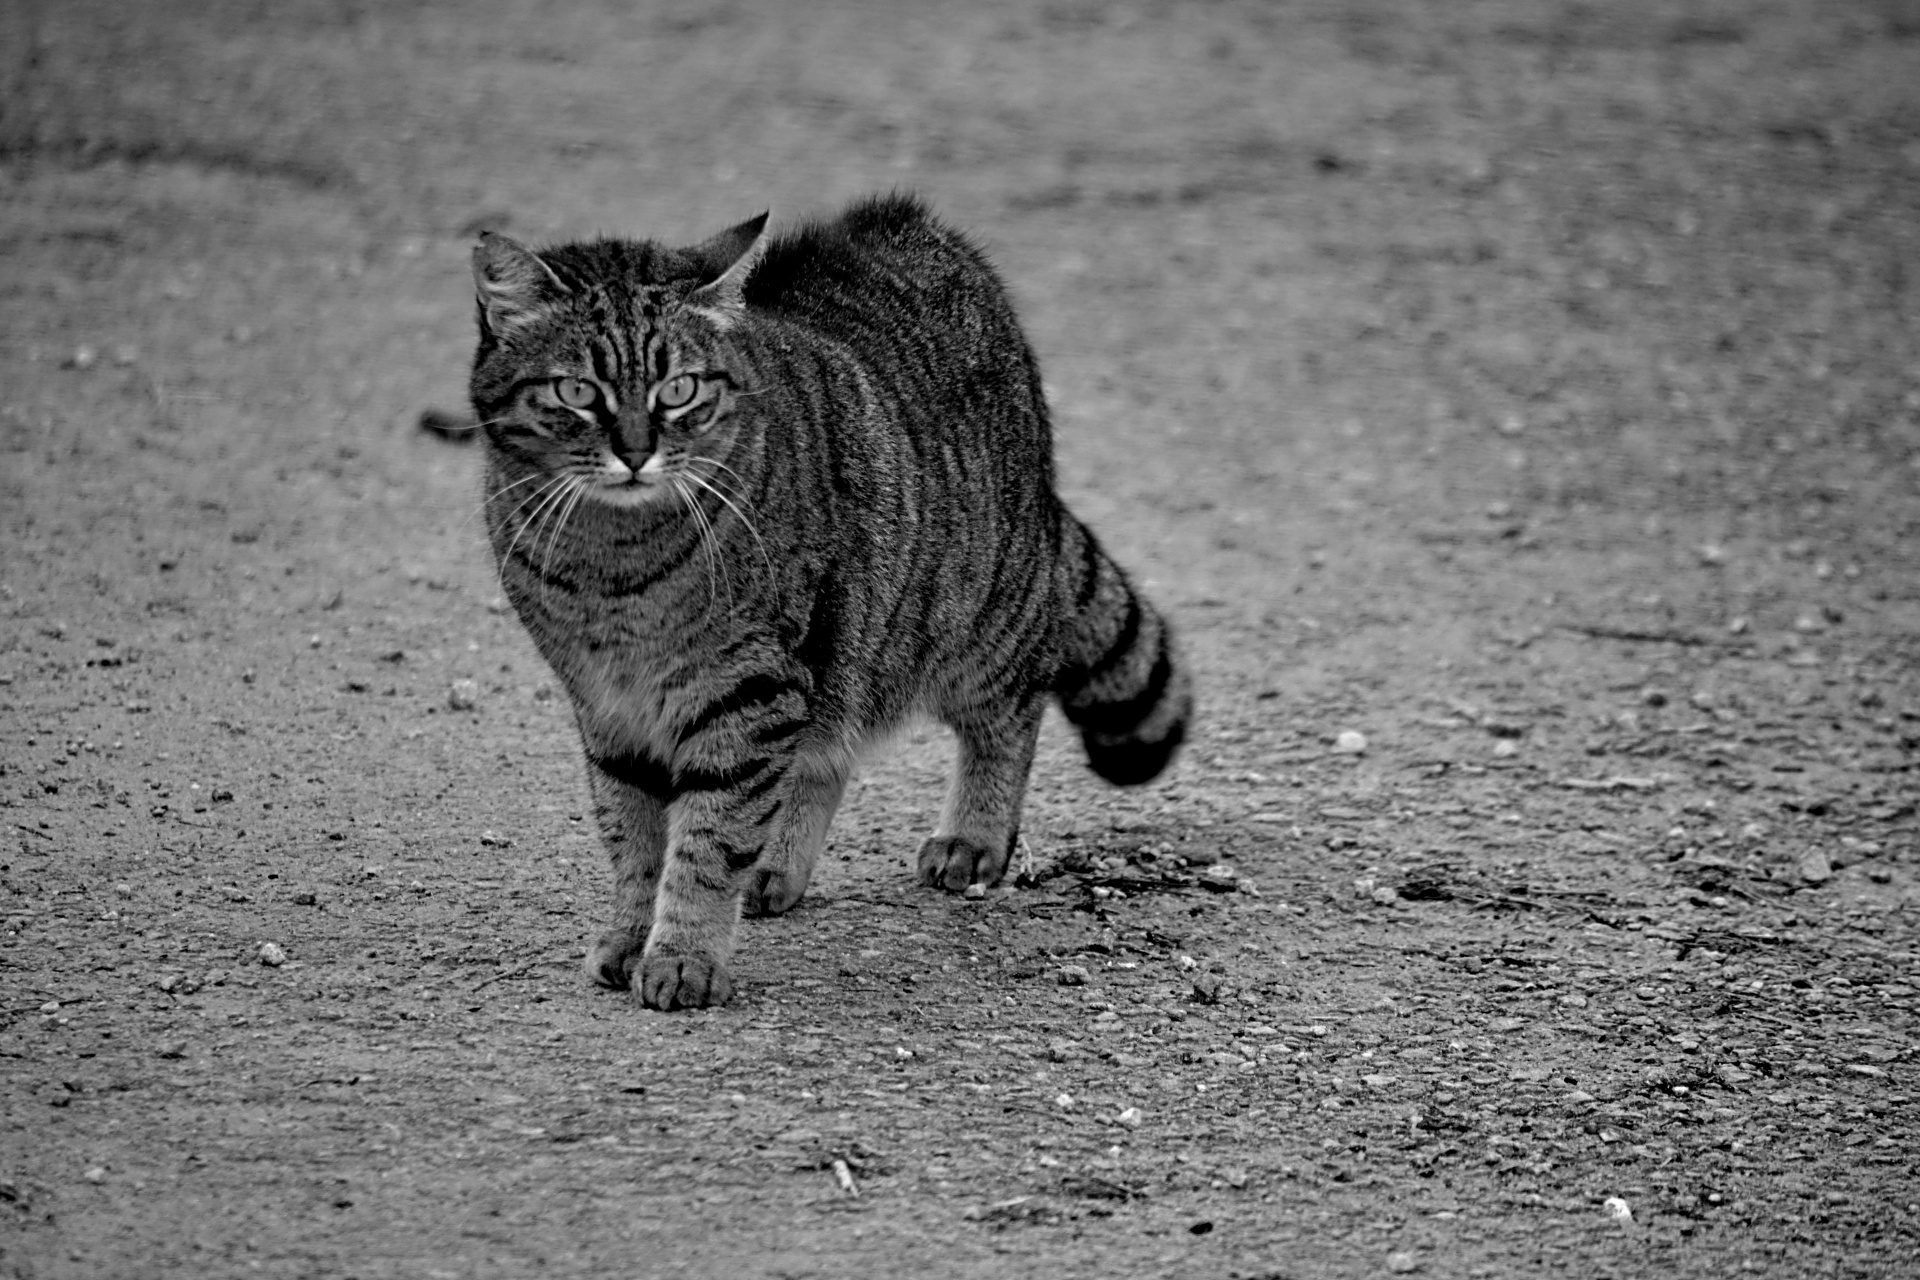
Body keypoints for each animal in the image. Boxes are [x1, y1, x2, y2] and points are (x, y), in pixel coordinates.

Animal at [466, 192, 1182, 1013]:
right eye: (579, 391)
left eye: (678, 390)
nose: (636, 452)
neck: (610, 565)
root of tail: (917, 225)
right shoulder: (608, 708)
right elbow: (635, 839)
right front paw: (630, 933)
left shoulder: (743, 691)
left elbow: (708, 839)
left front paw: (682, 955)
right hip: (842, 648)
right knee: (824, 751)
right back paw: (778, 865)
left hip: (975, 617)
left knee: (1009, 716)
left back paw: (974, 835)